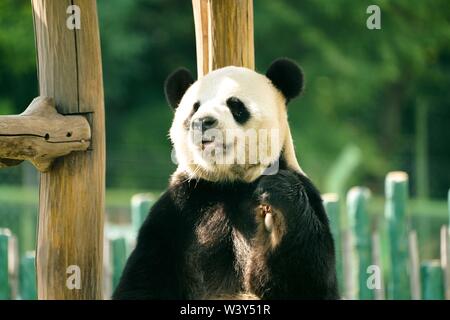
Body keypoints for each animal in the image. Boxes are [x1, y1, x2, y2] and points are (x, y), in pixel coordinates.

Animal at [111, 58, 338, 300]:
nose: (203, 122)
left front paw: (275, 221)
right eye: (194, 108)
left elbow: (311, 281)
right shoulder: (179, 205)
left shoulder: (306, 191)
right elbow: (144, 278)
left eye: (235, 105)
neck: (230, 184)